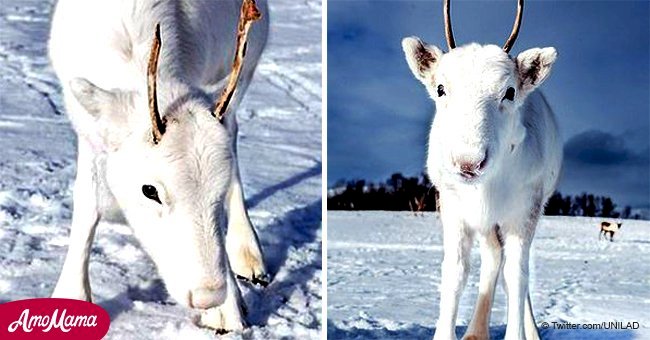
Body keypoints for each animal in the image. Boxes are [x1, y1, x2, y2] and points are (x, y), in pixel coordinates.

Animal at [48, 0, 268, 330]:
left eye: (218, 188)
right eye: (149, 190)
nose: (208, 295)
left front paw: (226, 310)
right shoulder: (89, 129)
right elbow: (87, 205)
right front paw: (71, 298)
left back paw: (248, 254)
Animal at [402, 0, 560, 340]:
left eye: (510, 92)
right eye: (441, 88)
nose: (468, 162)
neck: (485, 188)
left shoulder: (525, 209)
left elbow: (517, 275)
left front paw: (519, 334)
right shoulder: (452, 205)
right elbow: (456, 270)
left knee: (516, 269)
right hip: (486, 223)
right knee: (493, 256)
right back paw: (475, 332)